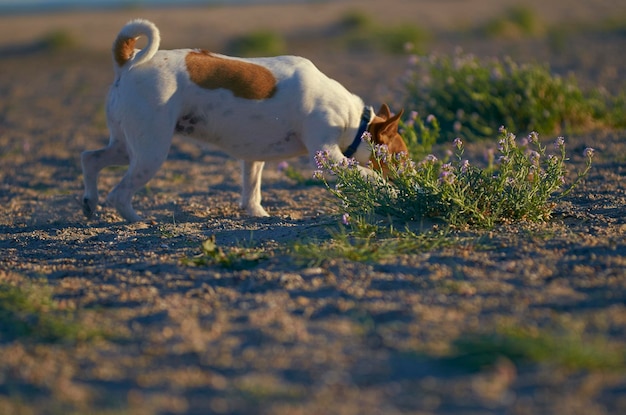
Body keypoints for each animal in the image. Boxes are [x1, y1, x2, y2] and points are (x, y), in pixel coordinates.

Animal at [80, 18, 408, 224]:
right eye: (400, 157)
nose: (412, 176)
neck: (354, 120)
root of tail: (128, 61)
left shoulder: (254, 159)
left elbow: (252, 190)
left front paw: (257, 213)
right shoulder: (327, 156)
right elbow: (370, 175)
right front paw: (391, 191)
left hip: (127, 147)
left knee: (90, 158)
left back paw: (89, 202)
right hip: (151, 152)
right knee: (119, 193)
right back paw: (136, 219)